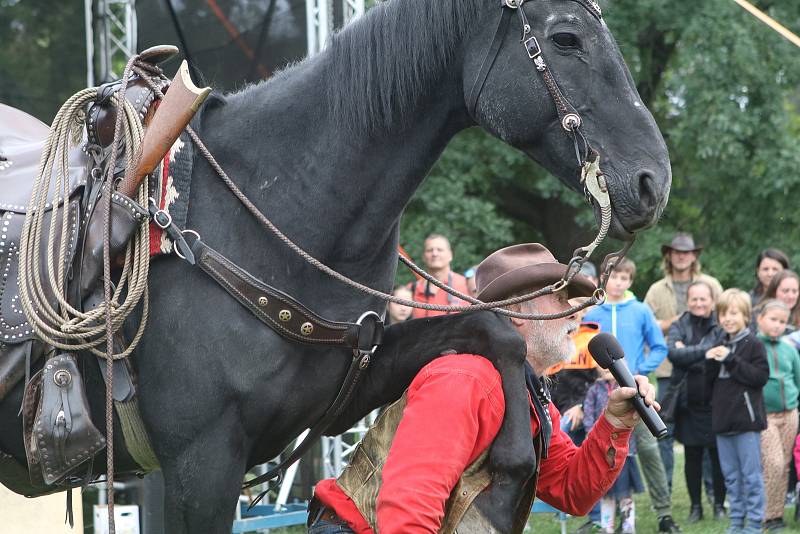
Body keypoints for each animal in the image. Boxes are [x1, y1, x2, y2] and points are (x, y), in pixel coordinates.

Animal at [1, 0, 668, 532]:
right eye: (565, 38)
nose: (652, 180)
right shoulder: (196, 461)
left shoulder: (346, 393)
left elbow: (492, 329)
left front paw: (511, 458)